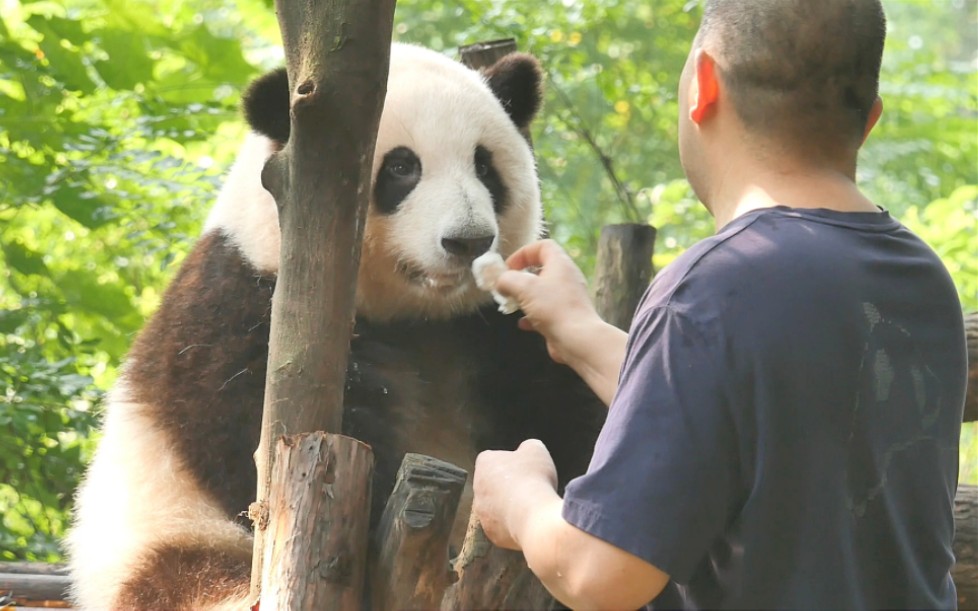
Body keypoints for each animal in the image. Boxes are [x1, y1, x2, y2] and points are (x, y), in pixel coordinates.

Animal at [65, 40, 604, 608]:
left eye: (485, 165)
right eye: (401, 167)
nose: (469, 241)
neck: (417, 317)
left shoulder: (491, 330)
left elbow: (563, 411)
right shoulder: (242, 304)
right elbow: (246, 429)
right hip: (166, 541)